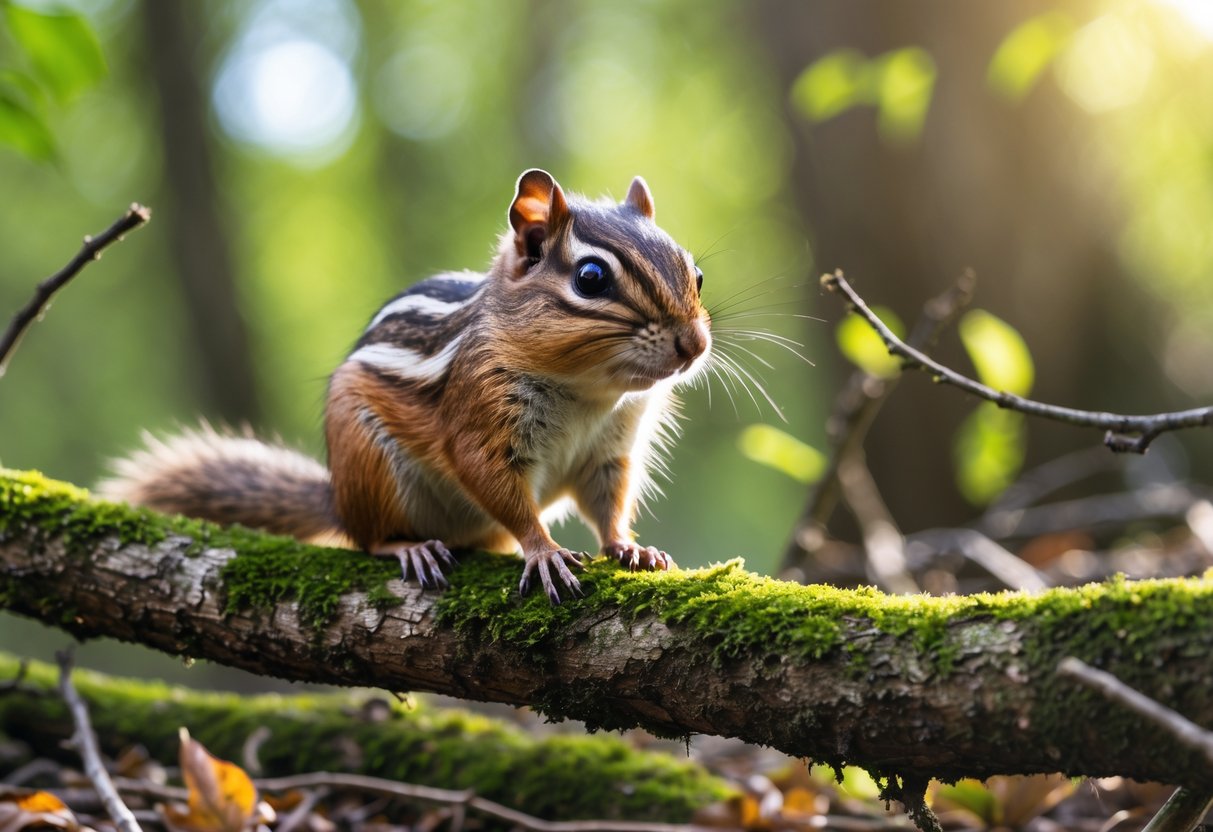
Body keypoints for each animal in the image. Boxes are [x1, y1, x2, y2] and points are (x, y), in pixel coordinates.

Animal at [101, 169, 711, 603]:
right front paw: (543, 552)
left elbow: (609, 503)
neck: (588, 394)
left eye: (696, 273)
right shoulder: (480, 413)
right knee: (369, 538)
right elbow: (498, 488)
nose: (694, 344)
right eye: (590, 278)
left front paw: (629, 547)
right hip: (367, 463)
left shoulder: (610, 450)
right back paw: (410, 546)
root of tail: (338, 499)